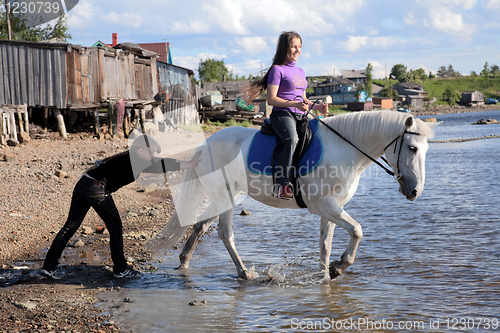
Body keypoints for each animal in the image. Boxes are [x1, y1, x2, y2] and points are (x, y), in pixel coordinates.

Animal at [158, 110, 436, 278]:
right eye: (412, 148)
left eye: (425, 150)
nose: (414, 191)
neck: (344, 149)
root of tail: (205, 144)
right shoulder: (322, 205)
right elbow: (357, 230)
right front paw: (339, 266)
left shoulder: (332, 207)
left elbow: (325, 245)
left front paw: (326, 275)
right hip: (224, 196)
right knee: (225, 234)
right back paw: (245, 273)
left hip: (228, 196)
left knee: (201, 224)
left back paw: (184, 261)